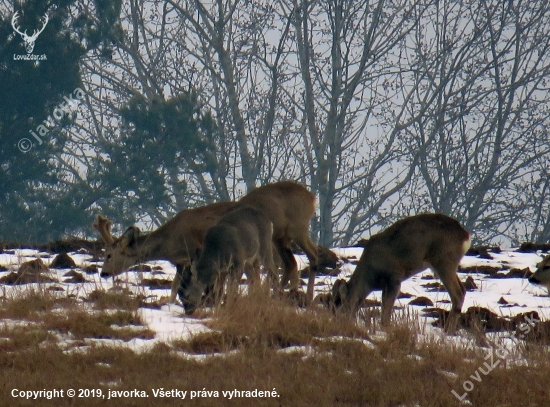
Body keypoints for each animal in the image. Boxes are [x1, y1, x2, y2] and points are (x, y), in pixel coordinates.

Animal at [332, 215, 470, 334]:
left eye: (339, 306)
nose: (337, 323)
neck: (371, 277)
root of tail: (465, 235)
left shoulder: (394, 277)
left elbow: (387, 306)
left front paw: (386, 327)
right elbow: (385, 305)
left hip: (443, 261)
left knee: (457, 294)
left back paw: (448, 331)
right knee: (463, 290)